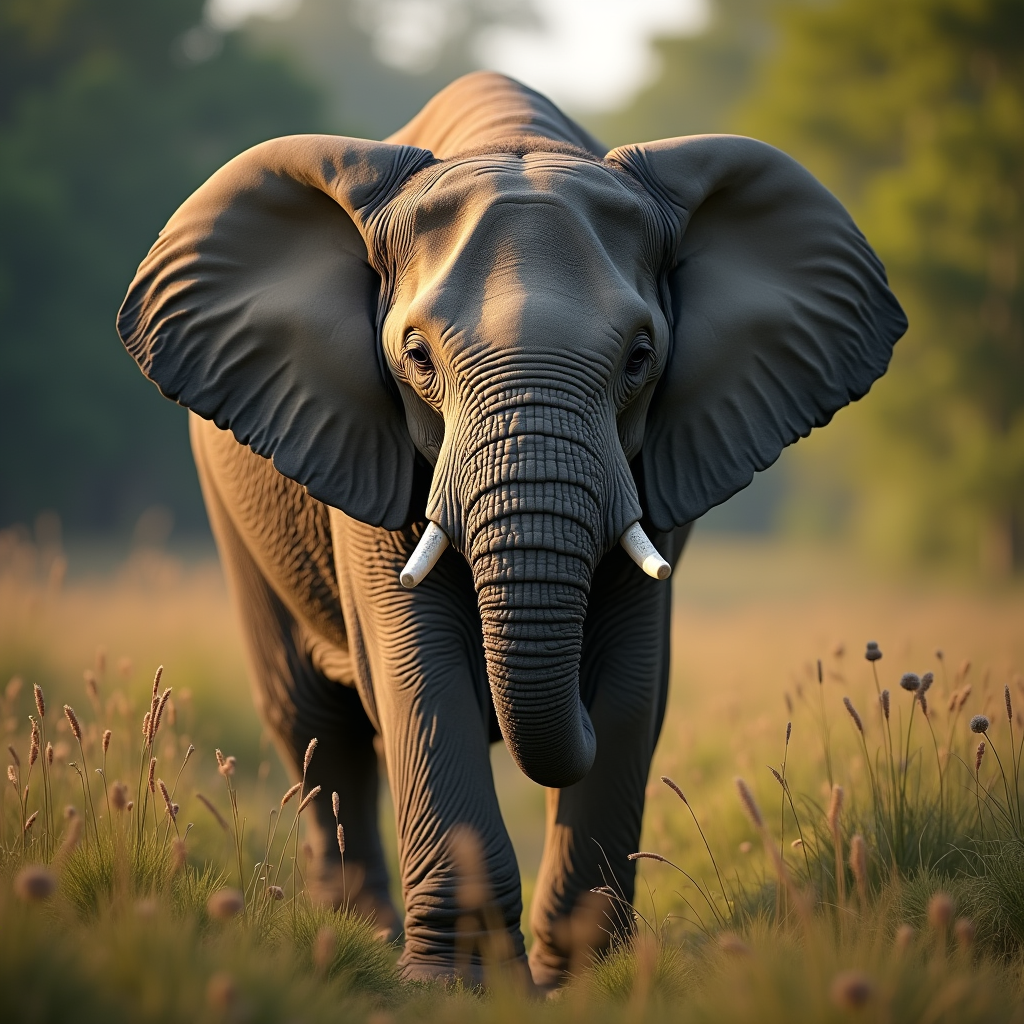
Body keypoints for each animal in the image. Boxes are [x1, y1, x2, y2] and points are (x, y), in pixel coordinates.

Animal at [117, 71, 906, 986]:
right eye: (416, 356)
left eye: (641, 356)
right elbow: (414, 666)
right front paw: (456, 987)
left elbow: (634, 678)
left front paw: (587, 981)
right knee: (312, 722)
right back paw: (360, 939)